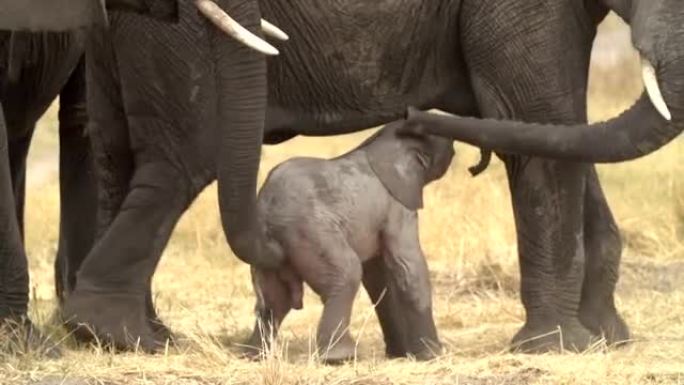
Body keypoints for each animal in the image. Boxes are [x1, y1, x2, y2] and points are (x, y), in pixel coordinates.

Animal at [244, 121, 454, 364]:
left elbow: (379, 277)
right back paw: (338, 357)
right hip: (310, 231)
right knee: (346, 273)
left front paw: (399, 353)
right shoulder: (398, 204)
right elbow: (408, 266)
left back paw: (255, 356)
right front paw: (432, 354)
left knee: (274, 301)